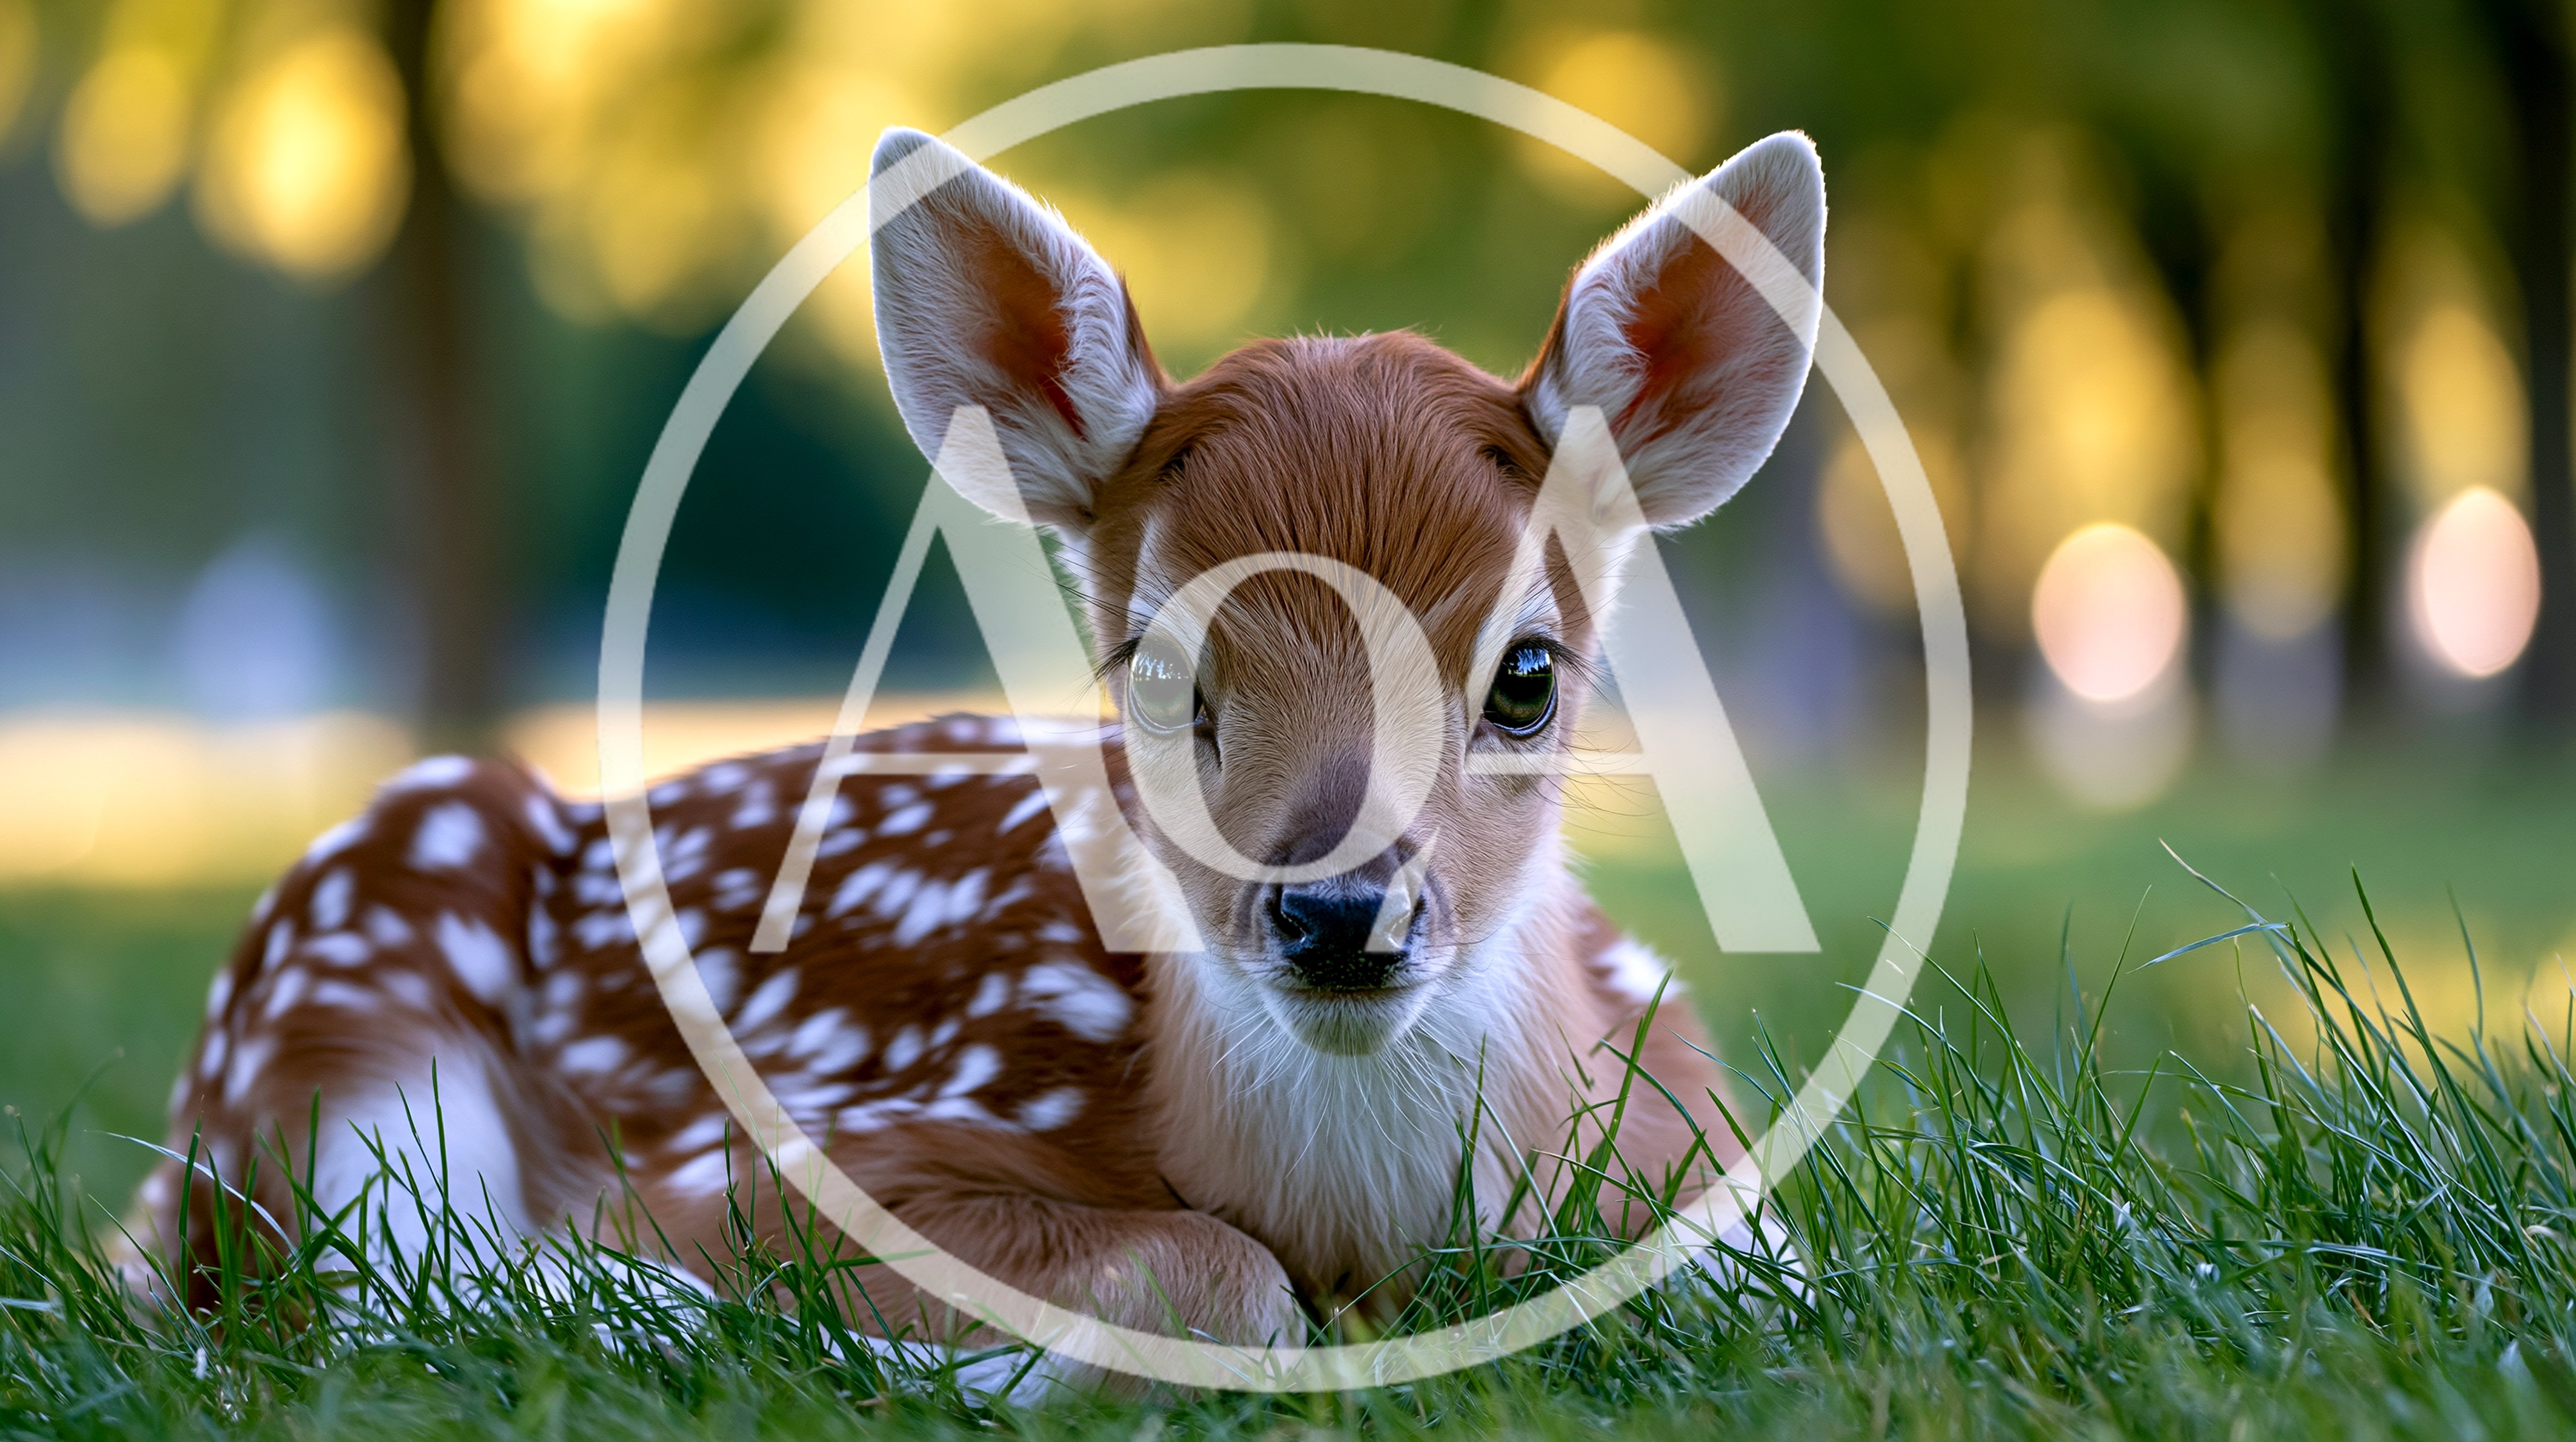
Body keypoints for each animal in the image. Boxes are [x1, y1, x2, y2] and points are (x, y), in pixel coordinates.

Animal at [117, 124, 1828, 1384]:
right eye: (1154, 668)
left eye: (1527, 675)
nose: (1339, 912)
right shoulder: (770, 1157)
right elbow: (1215, 1273)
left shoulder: (1709, 1168)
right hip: (335, 1010)